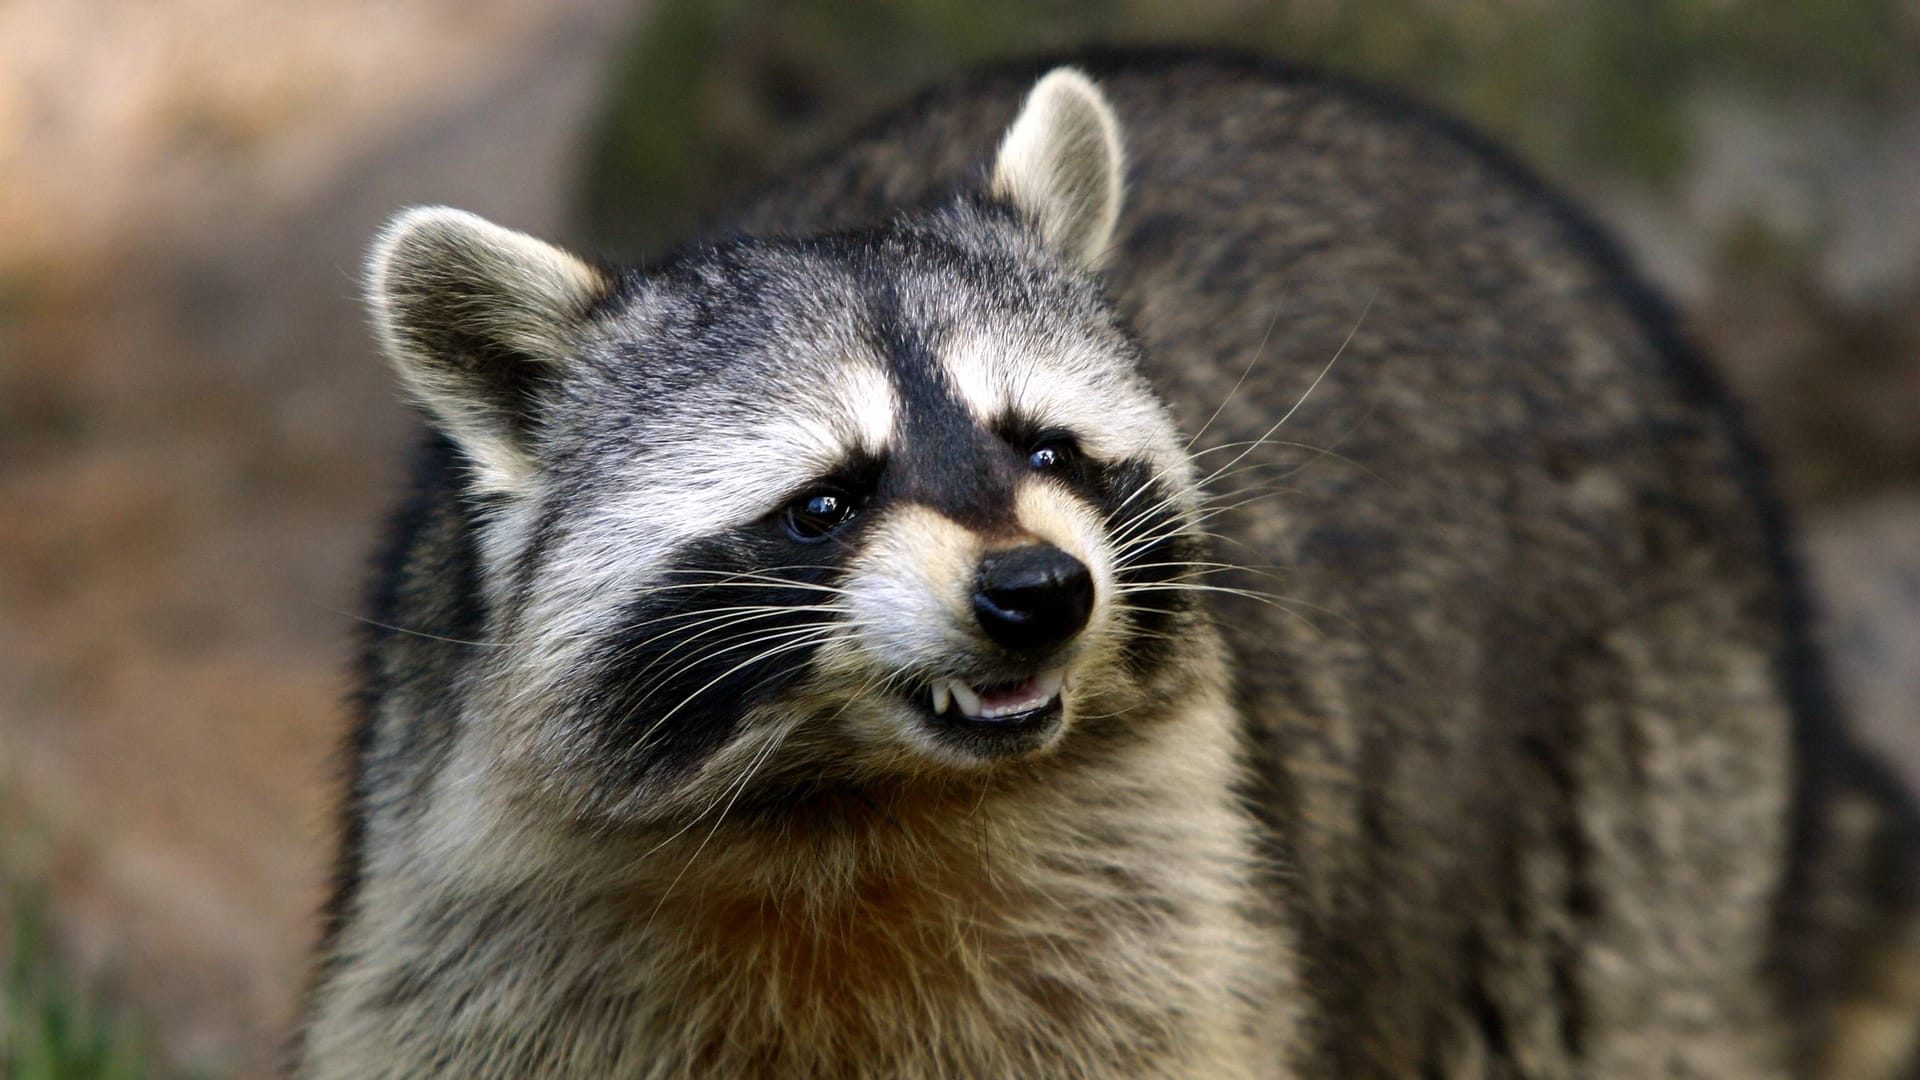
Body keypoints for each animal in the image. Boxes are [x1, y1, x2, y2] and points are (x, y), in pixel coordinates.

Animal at [299, 52, 1920, 1076]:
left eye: (1049, 449)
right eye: (827, 504)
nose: (1039, 595)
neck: (846, 810)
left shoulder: (1179, 917)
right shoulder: (481, 924)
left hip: (1642, 781)